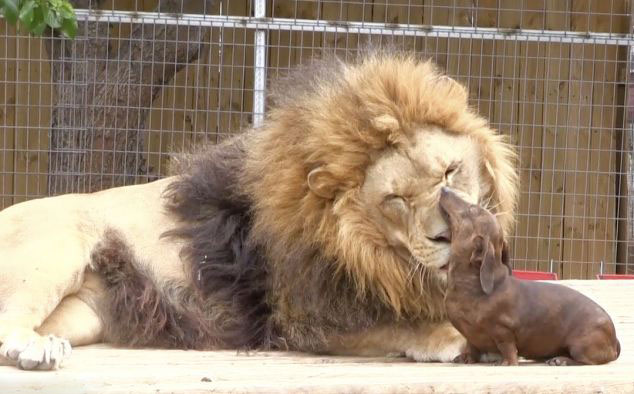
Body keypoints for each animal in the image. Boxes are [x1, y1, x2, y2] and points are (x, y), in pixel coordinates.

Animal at [0, 49, 512, 370]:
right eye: (396, 200)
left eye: (449, 173)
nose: (447, 235)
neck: (375, 254)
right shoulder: (302, 318)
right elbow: (405, 326)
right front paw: (455, 337)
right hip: (55, 247)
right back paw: (36, 350)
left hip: (85, 312)